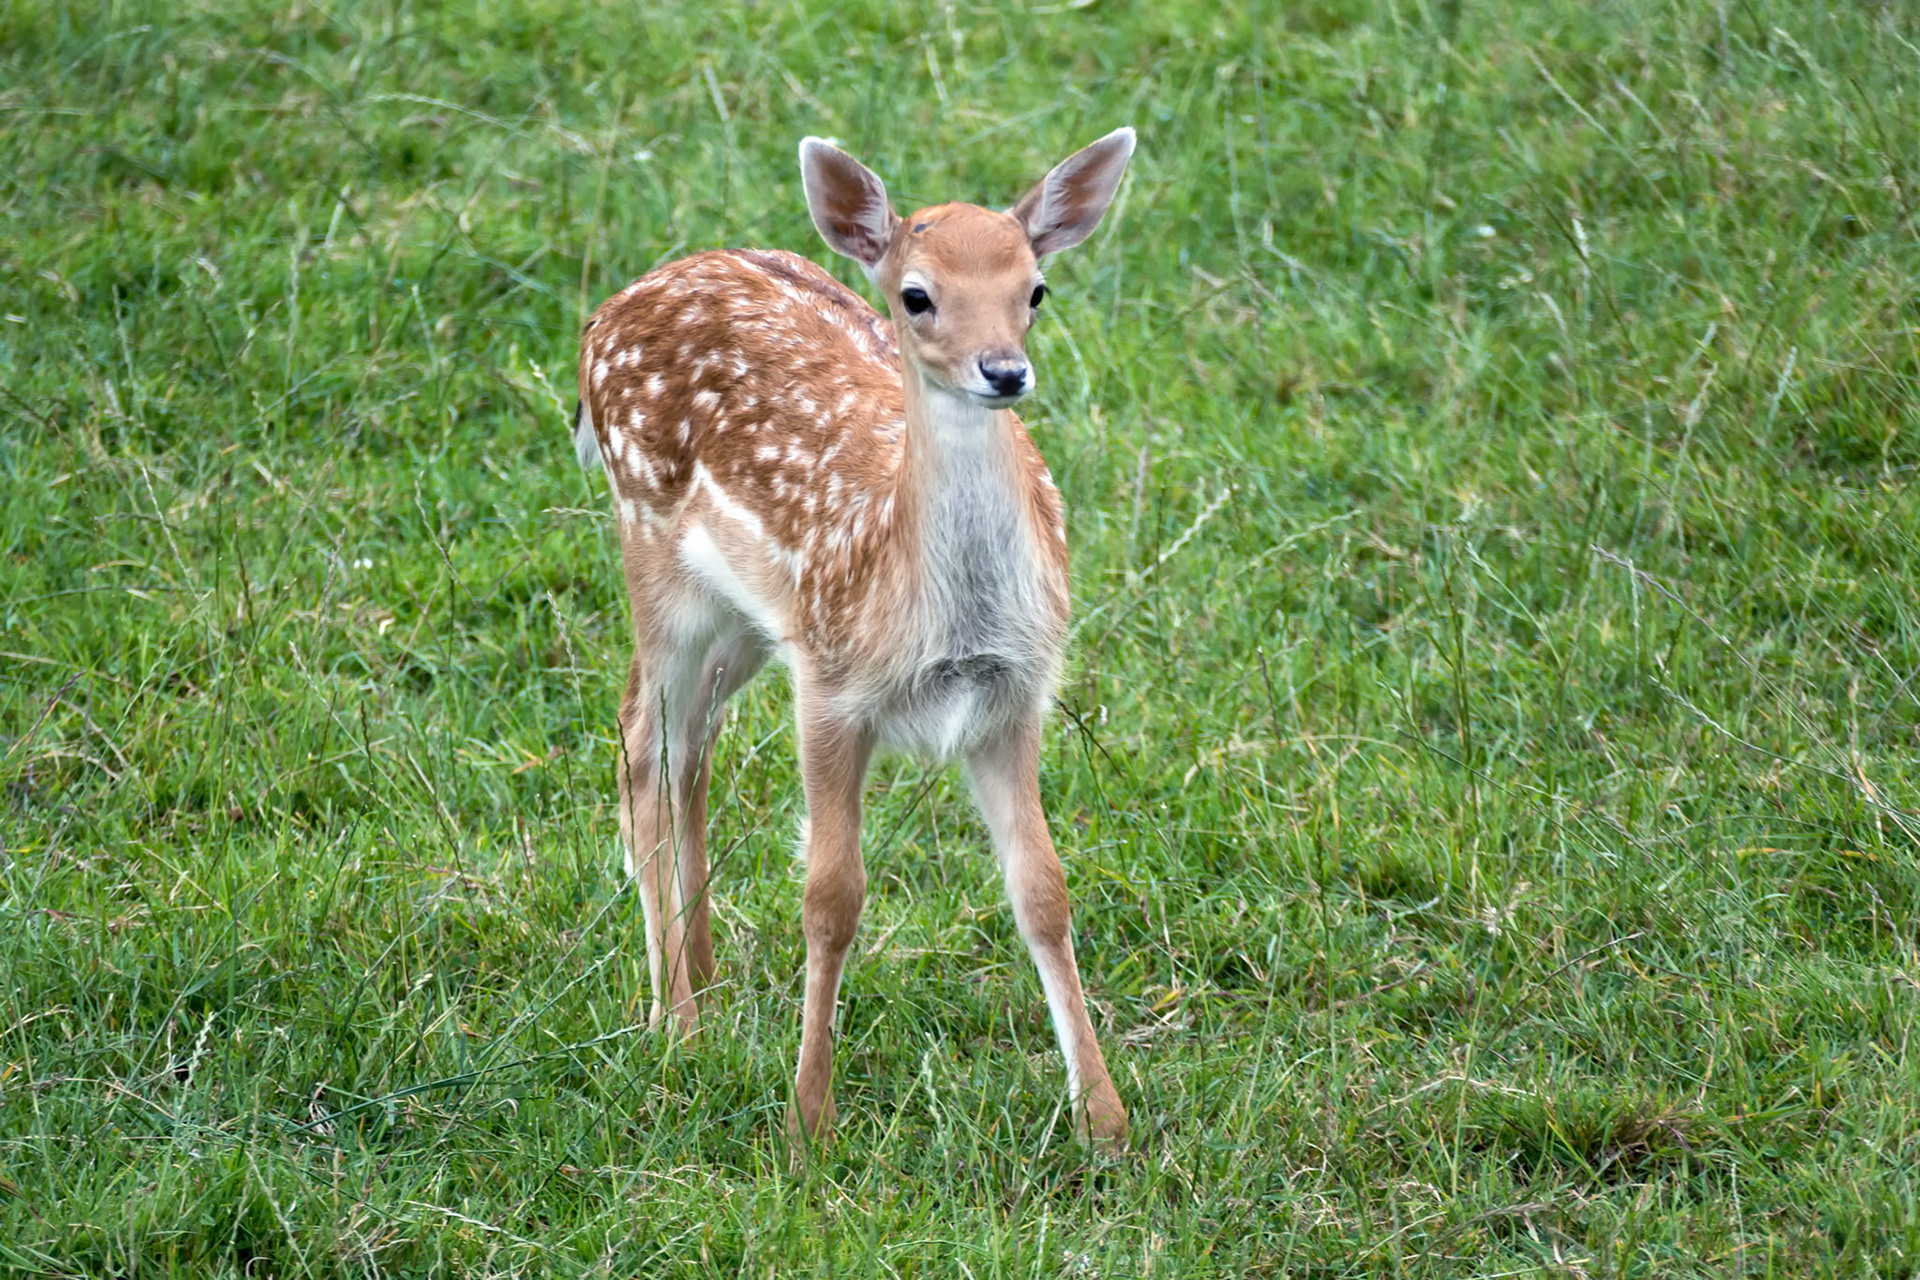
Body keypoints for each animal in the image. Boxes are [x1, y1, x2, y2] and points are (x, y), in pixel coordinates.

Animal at [571, 128, 1136, 1152]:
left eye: (1035, 289)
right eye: (917, 295)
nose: (1004, 371)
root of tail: (607, 314)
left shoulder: (1014, 694)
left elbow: (1043, 892)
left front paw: (1105, 1121)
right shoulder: (834, 688)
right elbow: (831, 899)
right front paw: (809, 1123)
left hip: (751, 619)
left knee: (691, 747)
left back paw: (706, 979)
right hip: (652, 550)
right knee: (641, 740)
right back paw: (674, 1020)